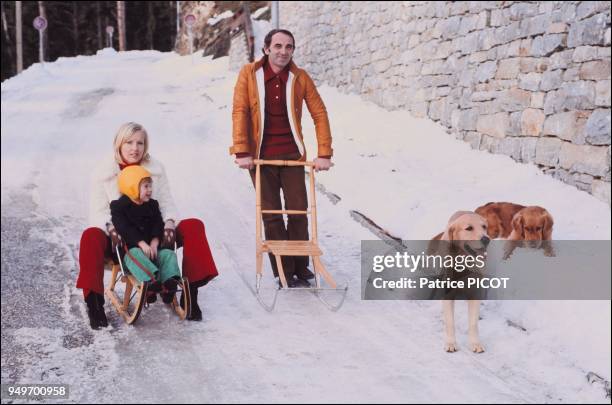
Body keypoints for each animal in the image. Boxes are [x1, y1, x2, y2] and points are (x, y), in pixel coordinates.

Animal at [432, 210, 490, 352]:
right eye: (469, 228)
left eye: (484, 227)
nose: (486, 239)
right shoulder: (448, 295)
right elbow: (450, 322)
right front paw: (451, 343)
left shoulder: (475, 293)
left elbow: (473, 323)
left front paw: (475, 343)